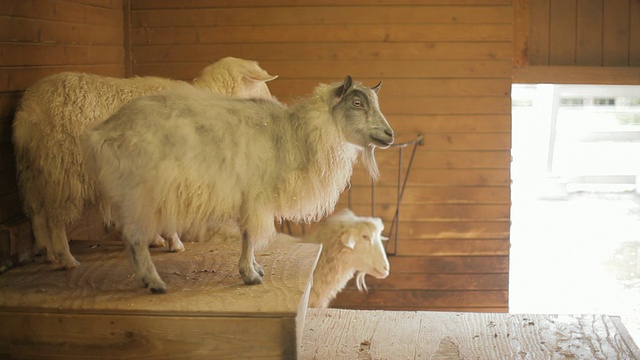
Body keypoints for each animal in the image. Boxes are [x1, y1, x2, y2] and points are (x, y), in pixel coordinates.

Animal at [11, 57, 278, 270]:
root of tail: (27, 110)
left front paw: (158, 240)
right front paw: (174, 242)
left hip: (34, 171)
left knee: (36, 213)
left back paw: (48, 253)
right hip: (61, 168)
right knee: (55, 219)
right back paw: (67, 259)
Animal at [84, 76, 396, 292]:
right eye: (357, 103)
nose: (389, 135)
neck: (292, 135)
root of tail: (102, 132)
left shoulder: (253, 198)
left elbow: (250, 236)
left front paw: (255, 267)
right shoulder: (254, 195)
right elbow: (249, 235)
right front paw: (250, 274)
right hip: (140, 192)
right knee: (134, 238)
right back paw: (154, 282)